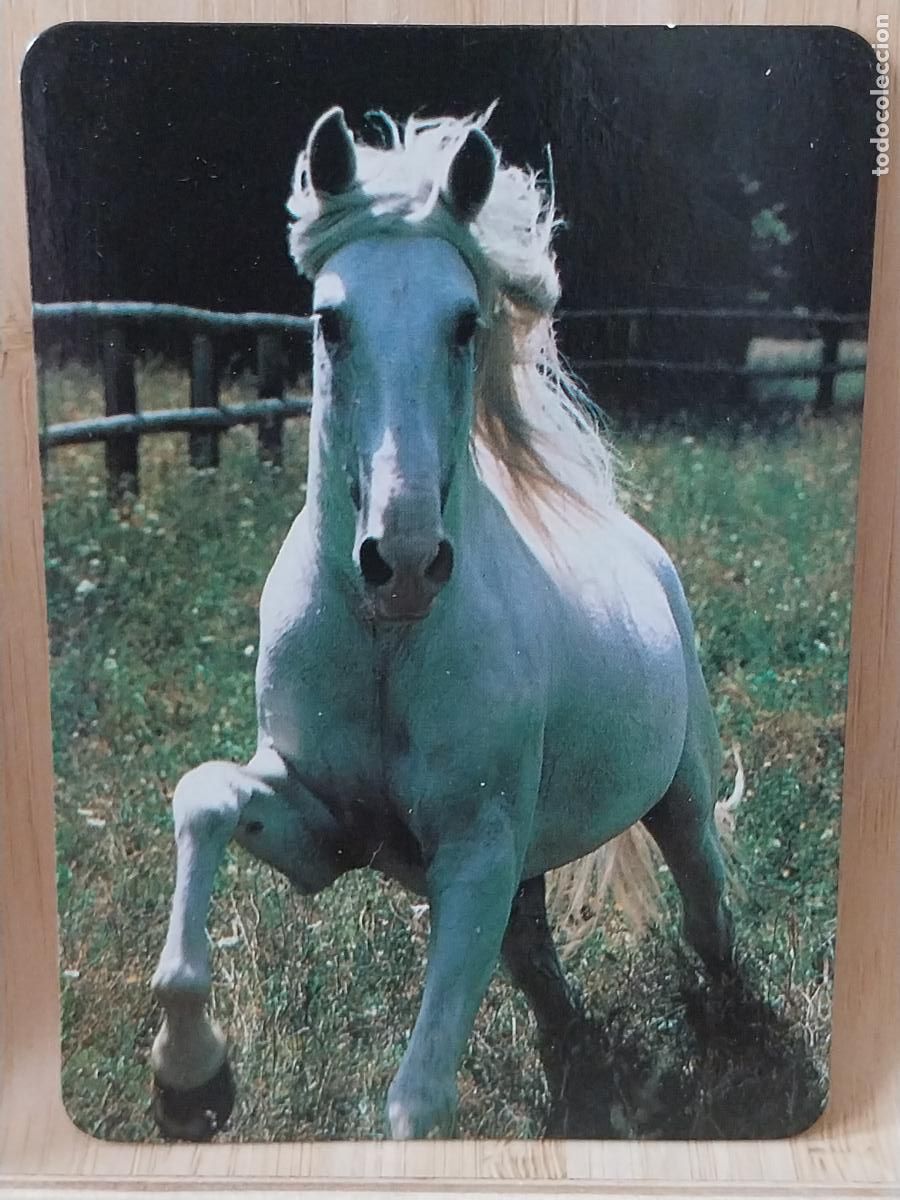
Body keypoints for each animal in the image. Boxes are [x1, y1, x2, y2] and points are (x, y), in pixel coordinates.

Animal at [149, 106, 735, 1141]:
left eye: (465, 321)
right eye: (329, 321)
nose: (405, 562)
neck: (390, 644)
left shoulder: (474, 858)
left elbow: (418, 1100)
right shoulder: (327, 834)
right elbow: (205, 797)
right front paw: (190, 1077)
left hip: (680, 800)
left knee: (706, 908)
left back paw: (732, 1028)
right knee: (538, 961)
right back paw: (578, 1059)